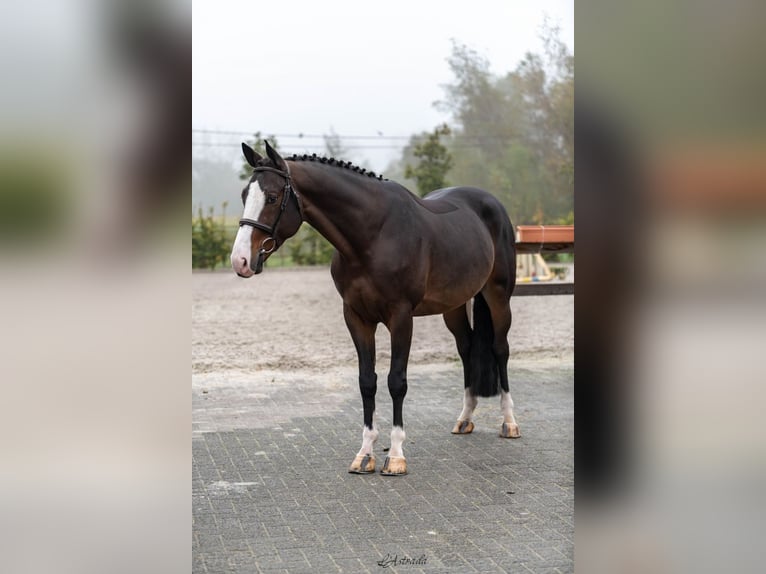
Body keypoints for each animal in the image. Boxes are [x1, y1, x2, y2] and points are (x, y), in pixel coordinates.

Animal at [232, 141, 520, 476]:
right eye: (244, 195)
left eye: (273, 197)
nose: (240, 260)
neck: (372, 236)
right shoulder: (357, 318)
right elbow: (366, 381)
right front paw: (365, 454)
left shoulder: (401, 318)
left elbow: (397, 382)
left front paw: (395, 456)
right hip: (454, 305)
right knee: (467, 348)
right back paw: (465, 419)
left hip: (498, 296)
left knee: (500, 349)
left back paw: (509, 422)